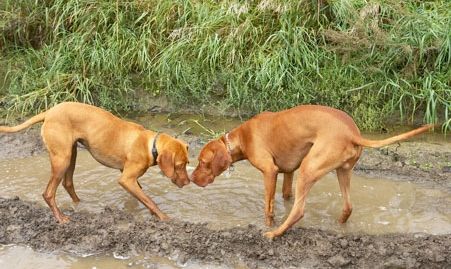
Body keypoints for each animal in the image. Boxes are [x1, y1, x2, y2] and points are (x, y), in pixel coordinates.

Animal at [0, 101, 191, 223]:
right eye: (179, 166)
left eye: (187, 163)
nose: (189, 183)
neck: (151, 145)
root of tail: (49, 112)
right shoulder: (126, 179)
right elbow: (149, 200)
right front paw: (164, 217)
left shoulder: (131, 179)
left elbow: (141, 197)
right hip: (62, 158)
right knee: (48, 193)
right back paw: (61, 218)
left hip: (71, 154)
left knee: (68, 183)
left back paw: (80, 204)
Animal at [191, 104, 434, 237]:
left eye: (202, 162)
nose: (191, 177)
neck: (241, 137)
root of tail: (352, 133)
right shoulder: (288, 172)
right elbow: (285, 196)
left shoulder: (270, 172)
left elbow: (268, 207)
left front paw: (267, 224)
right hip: (342, 171)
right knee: (348, 207)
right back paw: (337, 226)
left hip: (309, 169)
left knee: (299, 211)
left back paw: (274, 234)